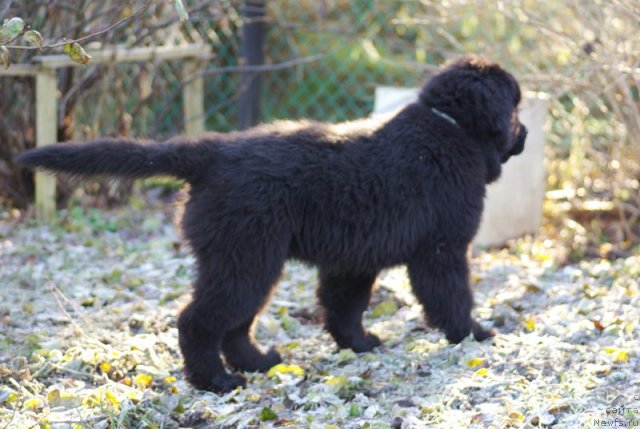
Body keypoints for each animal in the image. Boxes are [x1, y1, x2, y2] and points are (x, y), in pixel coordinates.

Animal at [18, 55, 528, 390]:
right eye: (516, 108)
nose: (524, 134)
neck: (449, 129)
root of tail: (211, 153)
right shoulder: (442, 249)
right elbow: (451, 296)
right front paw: (474, 334)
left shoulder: (353, 260)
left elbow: (344, 307)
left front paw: (358, 344)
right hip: (247, 258)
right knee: (198, 321)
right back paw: (216, 381)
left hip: (246, 259)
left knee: (235, 324)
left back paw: (257, 363)